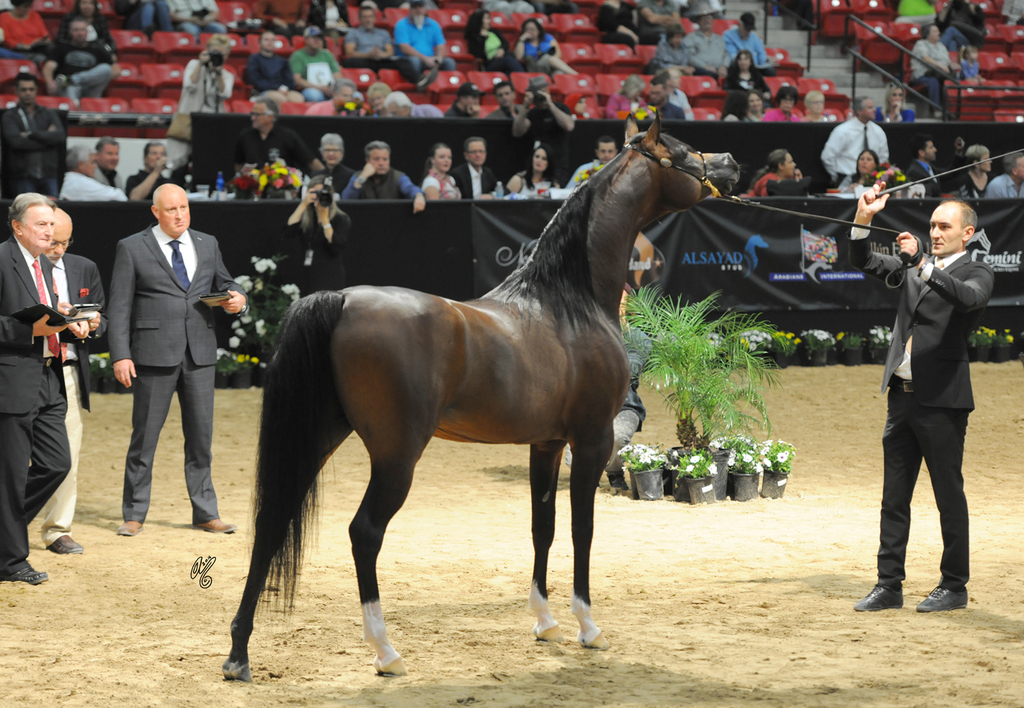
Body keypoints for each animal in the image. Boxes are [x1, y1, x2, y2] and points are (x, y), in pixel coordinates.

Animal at [223, 114, 739, 680]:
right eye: (685, 151)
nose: (731, 163)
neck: (568, 301)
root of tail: (340, 299)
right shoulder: (591, 440)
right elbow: (581, 530)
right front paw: (587, 627)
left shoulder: (546, 444)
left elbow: (543, 527)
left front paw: (545, 623)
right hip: (396, 455)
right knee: (365, 533)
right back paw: (385, 651)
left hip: (319, 436)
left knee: (272, 523)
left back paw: (239, 654)